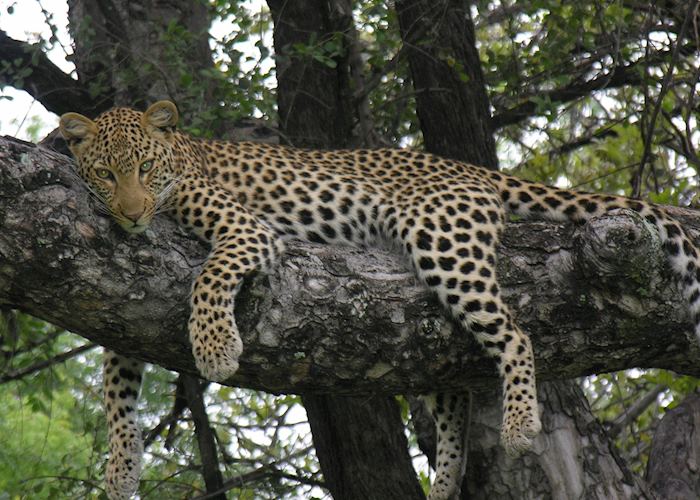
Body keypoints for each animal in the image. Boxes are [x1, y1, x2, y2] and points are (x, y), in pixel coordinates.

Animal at [59, 101, 700, 500]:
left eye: (144, 167)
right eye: (106, 174)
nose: (132, 214)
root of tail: (471, 168)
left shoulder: (246, 229)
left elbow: (209, 278)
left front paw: (215, 347)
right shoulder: (123, 305)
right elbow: (117, 386)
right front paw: (121, 469)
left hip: (443, 244)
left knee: (515, 335)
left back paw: (520, 424)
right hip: (428, 309)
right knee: (454, 390)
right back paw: (445, 483)